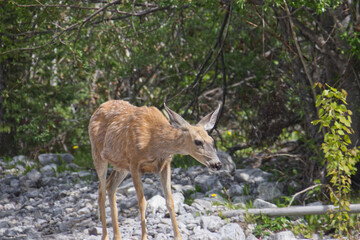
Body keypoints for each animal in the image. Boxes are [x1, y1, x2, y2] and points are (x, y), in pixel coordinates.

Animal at [88, 100, 222, 240]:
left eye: (211, 140)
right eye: (197, 142)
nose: (217, 164)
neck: (153, 141)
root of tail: (98, 108)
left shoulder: (165, 164)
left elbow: (170, 201)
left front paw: (178, 236)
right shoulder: (134, 162)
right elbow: (142, 203)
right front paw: (144, 237)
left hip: (121, 165)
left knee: (110, 186)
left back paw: (117, 236)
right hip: (98, 154)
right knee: (102, 191)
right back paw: (105, 236)